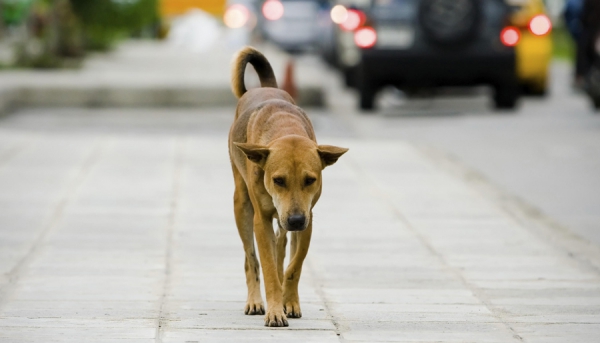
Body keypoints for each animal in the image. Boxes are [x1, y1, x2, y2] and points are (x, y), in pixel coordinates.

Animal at [227, 47, 346, 328]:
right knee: (251, 258)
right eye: (278, 180)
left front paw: (288, 301)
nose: (294, 220)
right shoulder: (262, 220)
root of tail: (265, 88)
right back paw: (255, 301)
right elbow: (268, 266)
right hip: (242, 204)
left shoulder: (308, 217)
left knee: (281, 247)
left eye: (310, 180)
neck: (285, 128)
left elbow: (294, 264)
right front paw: (274, 310)